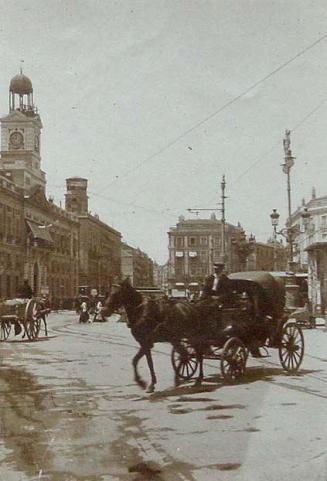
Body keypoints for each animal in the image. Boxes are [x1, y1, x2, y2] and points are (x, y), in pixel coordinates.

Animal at [102, 272, 304, 392]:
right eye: (107, 293)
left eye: (116, 293)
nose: (103, 311)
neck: (144, 310)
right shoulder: (147, 342)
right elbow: (142, 361)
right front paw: (149, 383)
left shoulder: (148, 341)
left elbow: (140, 360)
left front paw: (146, 382)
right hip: (190, 337)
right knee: (192, 354)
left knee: (201, 354)